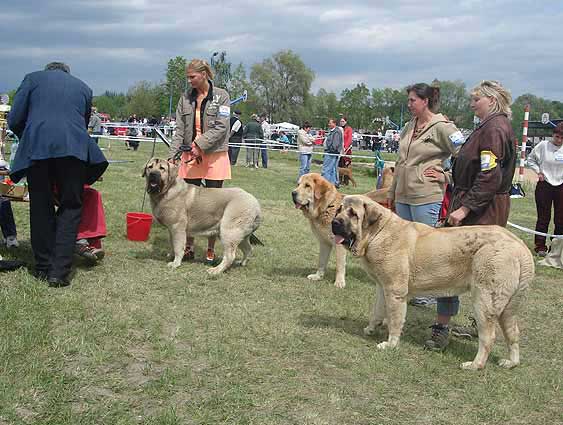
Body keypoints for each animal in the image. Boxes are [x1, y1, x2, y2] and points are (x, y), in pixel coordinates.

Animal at [332, 195, 536, 368]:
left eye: (353, 214)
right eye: (339, 210)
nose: (334, 222)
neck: (378, 232)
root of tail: (520, 247)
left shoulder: (395, 292)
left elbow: (395, 320)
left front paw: (390, 344)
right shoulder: (382, 288)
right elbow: (377, 312)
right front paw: (371, 329)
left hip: (485, 301)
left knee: (488, 337)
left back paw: (475, 365)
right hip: (508, 308)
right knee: (513, 333)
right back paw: (511, 362)